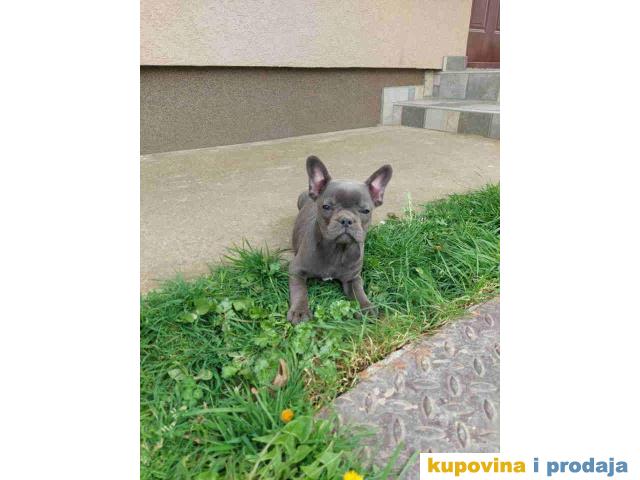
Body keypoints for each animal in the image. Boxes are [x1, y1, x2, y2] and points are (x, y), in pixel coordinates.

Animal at [287, 155, 393, 324]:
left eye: (365, 210)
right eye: (326, 207)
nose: (346, 219)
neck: (337, 249)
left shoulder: (352, 278)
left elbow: (359, 292)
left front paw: (366, 307)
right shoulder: (296, 270)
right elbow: (299, 290)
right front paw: (299, 311)